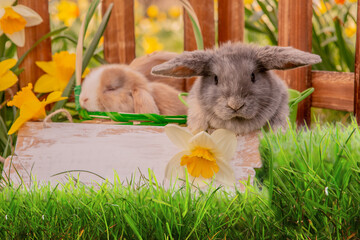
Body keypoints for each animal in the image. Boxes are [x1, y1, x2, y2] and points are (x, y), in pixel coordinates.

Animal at [151, 43, 320, 135]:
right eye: (215, 79)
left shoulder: (281, 103)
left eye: (253, 76)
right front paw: (198, 131)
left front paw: (277, 133)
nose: (235, 105)